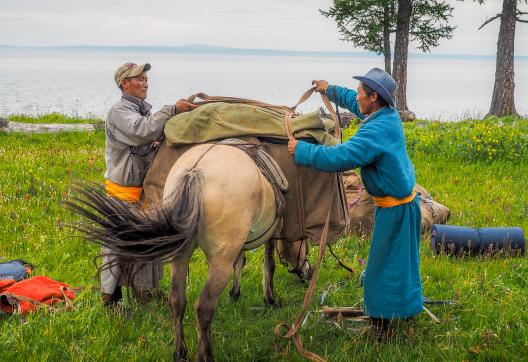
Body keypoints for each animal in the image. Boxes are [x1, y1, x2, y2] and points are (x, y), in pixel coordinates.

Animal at [68, 143, 312, 360]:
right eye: (306, 247)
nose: (309, 274)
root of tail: (195, 172)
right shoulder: (270, 234)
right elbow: (268, 264)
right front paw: (270, 299)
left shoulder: (238, 243)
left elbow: (240, 261)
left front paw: (235, 293)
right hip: (218, 261)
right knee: (203, 307)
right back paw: (206, 355)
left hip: (180, 256)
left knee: (177, 300)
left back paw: (180, 352)